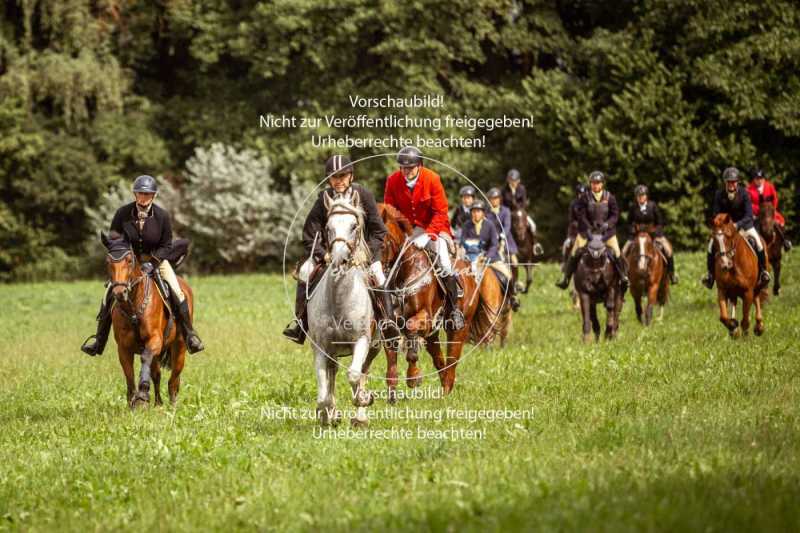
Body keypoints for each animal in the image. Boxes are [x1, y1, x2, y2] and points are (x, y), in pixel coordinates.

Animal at [101, 231, 190, 410]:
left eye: (129, 261)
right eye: (108, 262)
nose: (120, 293)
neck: (134, 308)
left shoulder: (154, 340)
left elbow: (144, 358)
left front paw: (142, 395)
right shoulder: (123, 348)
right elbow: (129, 373)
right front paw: (133, 401)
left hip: (179, 347)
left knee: (174, 380)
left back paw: (172, 406)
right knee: (157, 374)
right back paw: (158, 403)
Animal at [368, 204, 482, 400]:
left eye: (381, 244)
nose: (372, 278)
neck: (404, 270)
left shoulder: (424, 316)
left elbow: (411, 332)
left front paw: (413, 377)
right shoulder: (388, 323)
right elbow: (392, 353)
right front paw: (392, 392)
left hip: (458, 328)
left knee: (452, 360)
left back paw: (446, 393)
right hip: (432, 335)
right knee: (439, 360)